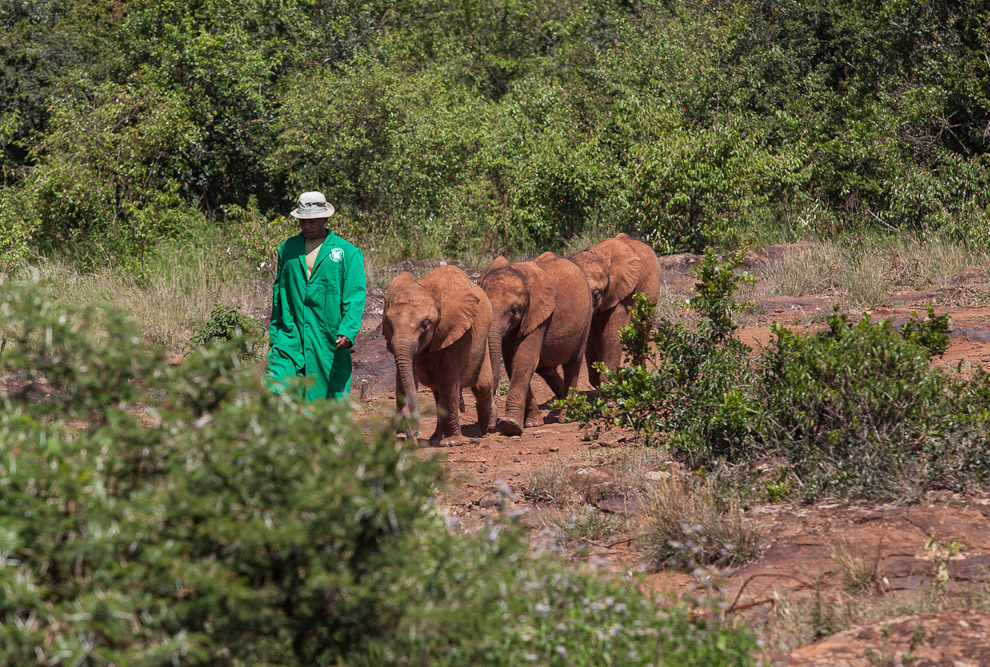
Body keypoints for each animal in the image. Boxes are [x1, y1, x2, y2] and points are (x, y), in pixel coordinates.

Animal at [386, 264, 496, 446]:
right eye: (388, 323)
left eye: (425, 324)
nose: (412, 432)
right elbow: (404, 378)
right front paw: (400, 438)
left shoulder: (456, 332)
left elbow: (449, 378)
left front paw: (452, 442)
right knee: (438, 390)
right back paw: (435, 438)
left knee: (482, 386)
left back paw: (489, 428)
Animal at [484, 253, 592, 436]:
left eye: (514, 309)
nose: (490, 426)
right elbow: (512, 362)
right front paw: (532, 423)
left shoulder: (539, 315)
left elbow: (524, 359)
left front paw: (510, 425)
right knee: (546, 369)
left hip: (586, 318)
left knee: (573, 364)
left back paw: (567, 417)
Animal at [568, 234, 664, 386]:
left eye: (596, 294)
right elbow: (591, 335)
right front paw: (599, 382)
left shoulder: (625, 292)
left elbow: (613, 332)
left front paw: (609, 383)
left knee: (642, 330)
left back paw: (639, 376)